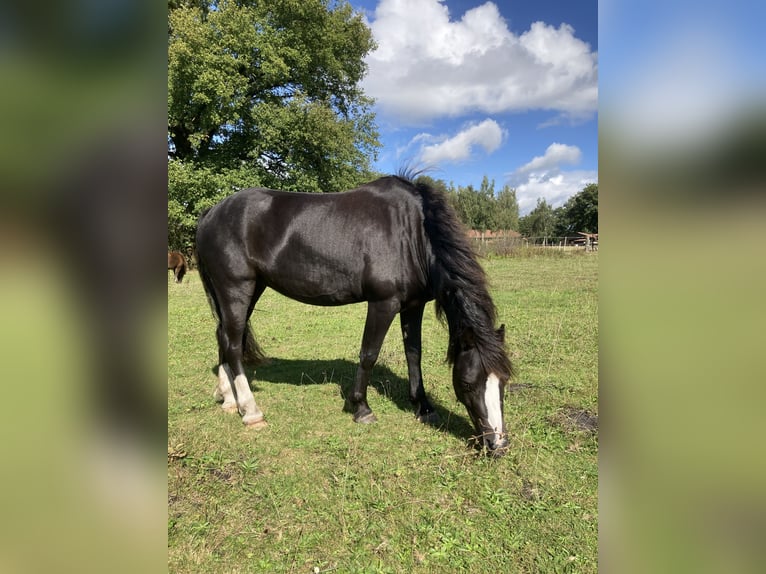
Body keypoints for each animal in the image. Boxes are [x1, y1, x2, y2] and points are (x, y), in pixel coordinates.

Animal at [196, 177, 516, 460]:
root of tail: (211, 212)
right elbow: (369, 354)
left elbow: (414, 354)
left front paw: (423, 407)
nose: (497, 445)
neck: (411, 231)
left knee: (223, 336)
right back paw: (250, 411)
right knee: (233, 344)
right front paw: (361, 408)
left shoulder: (413, 306)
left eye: (503, 383)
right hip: (236, 288)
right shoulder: (383, 304)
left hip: (250, 289)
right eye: (468, 384)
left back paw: (228, 399)